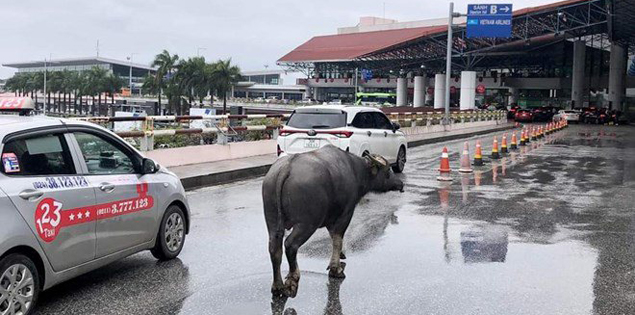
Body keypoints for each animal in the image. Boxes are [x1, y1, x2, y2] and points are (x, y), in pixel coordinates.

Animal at [262, 146, 402, 298]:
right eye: (387, 171)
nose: (400, 184)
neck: (356, 170)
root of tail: (287, 167)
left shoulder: (331, 219)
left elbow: (333, 237)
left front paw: (341, 256)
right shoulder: (346, 214)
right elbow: (338, 239)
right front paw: (336, 269)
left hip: (272, 221)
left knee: (274, 248)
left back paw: (277, 286)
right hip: (307, 224)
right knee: (290, 245)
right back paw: (292, 280)